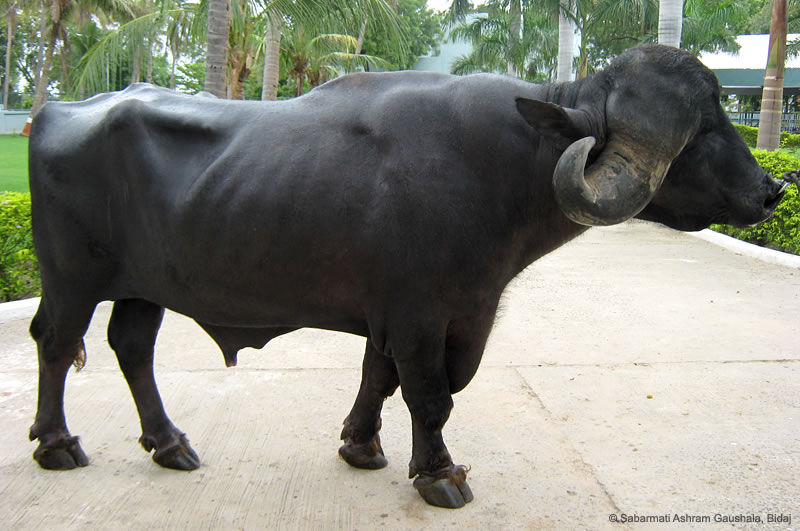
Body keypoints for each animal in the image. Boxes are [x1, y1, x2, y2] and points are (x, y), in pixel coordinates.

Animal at [27, 44, 788, 508]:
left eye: (722, 112)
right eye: (701, 132)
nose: (773, 190)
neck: (507, 167)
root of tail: (56, 111)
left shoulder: (398, 312)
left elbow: (378, 377)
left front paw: (361, 445)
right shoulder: (424, 314)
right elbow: (429, 394)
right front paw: (440, 473)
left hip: (143, 286)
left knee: (131, 347)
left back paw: (170, 443)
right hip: (71, 278)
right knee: (57, 344)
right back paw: (58, 444)